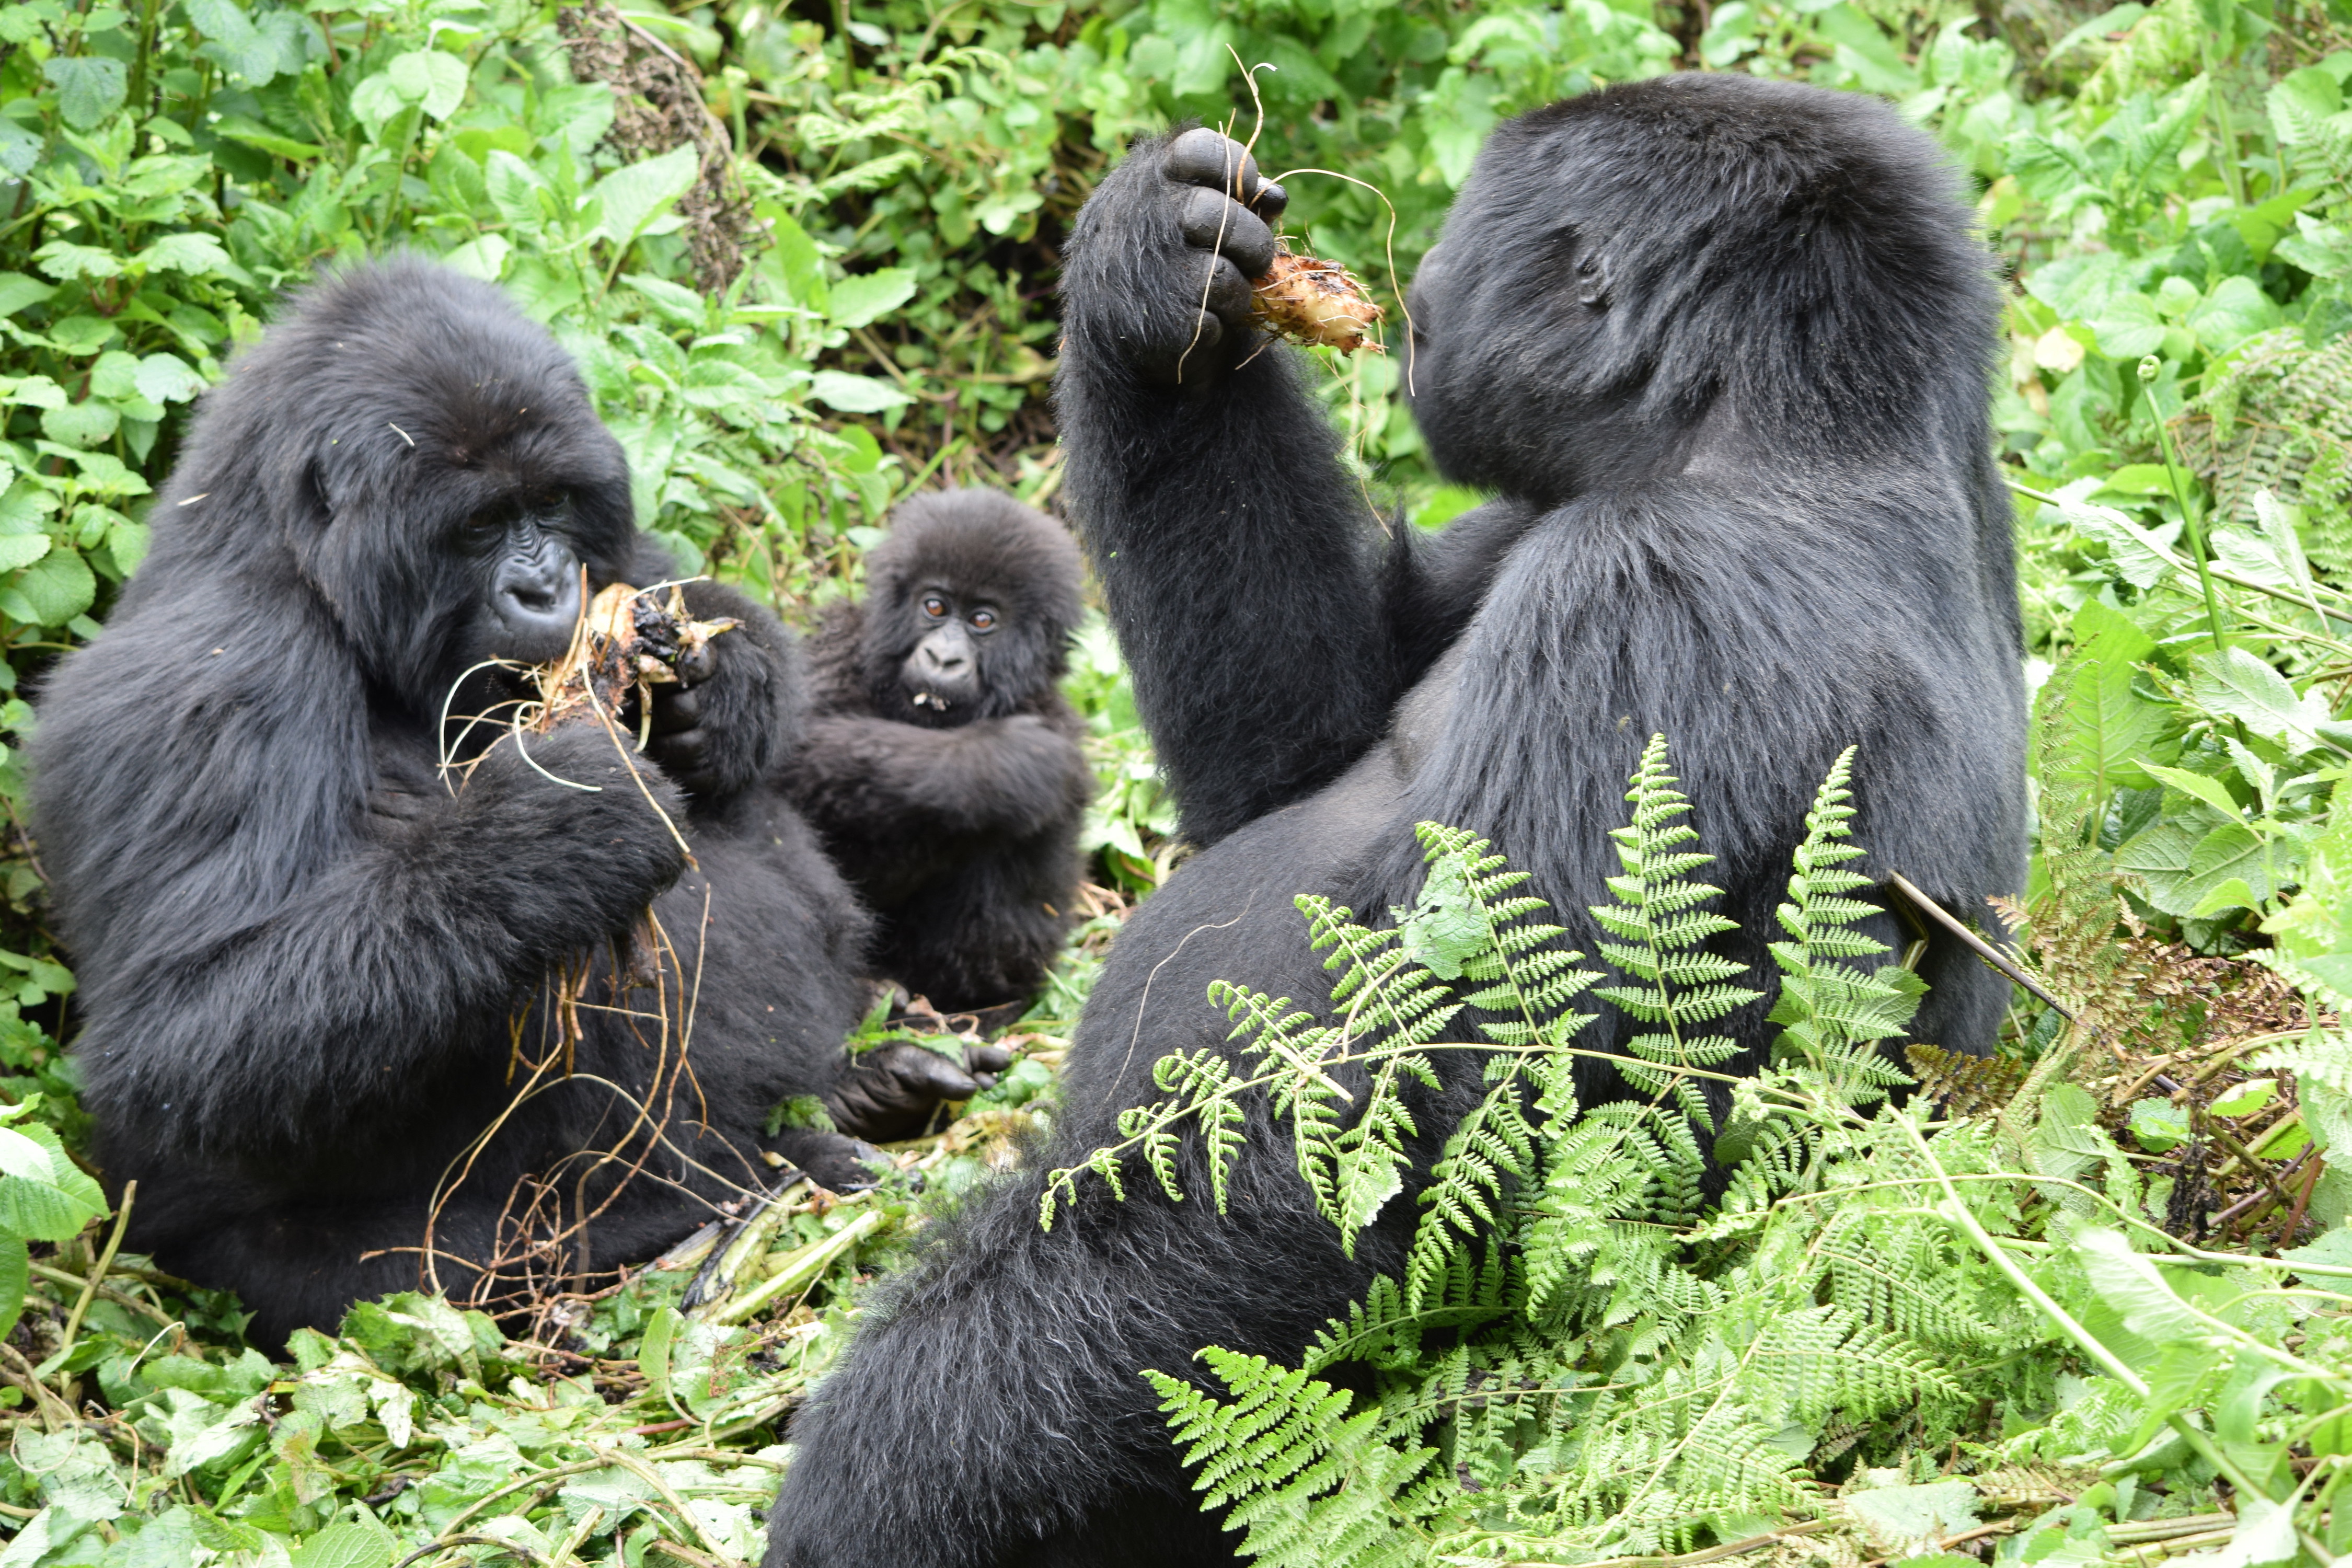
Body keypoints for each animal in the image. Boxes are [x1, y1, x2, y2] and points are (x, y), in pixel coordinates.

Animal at [34, 261, 993, 1354]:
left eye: (553, 504)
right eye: (483, 525)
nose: (545, 589)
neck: (298, 571)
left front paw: (721, 688)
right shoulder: (216, 675)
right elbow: (181, 1040)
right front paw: (560, 827)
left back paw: (862, 1086)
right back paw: (695, 1200)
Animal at [786, 487, 1087, 1020]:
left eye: (983, 620)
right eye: (935, 607)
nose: (943, 658)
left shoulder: (1059, 725)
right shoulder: (837, 644)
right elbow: (794, 752)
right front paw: (1004, 762)